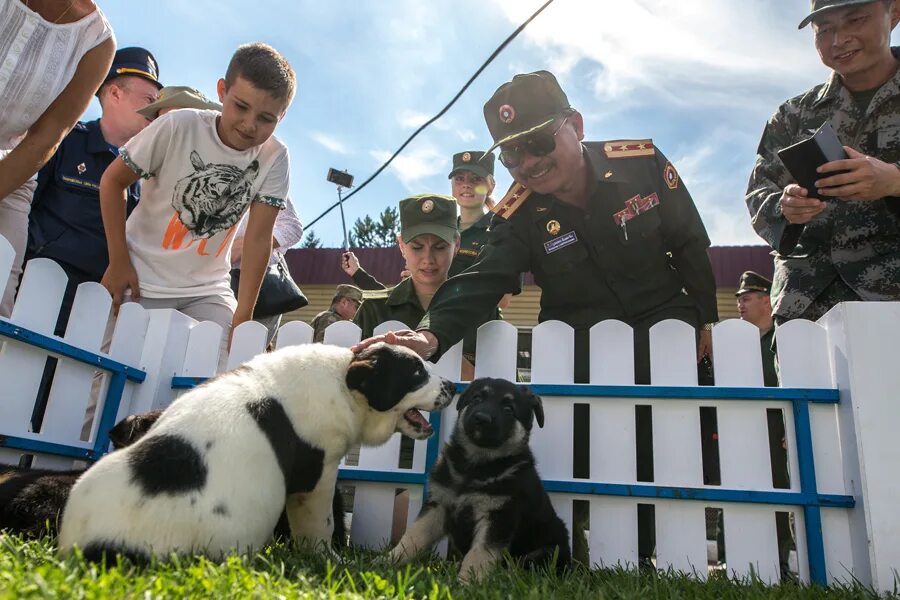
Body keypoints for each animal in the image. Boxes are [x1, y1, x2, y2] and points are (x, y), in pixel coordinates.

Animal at [57, 342, 454, 564]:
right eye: (416, 373)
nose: (451, 384)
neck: (345, 380)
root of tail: (100, 547)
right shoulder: (317, 478)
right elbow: (320, 525)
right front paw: (328, 559)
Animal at [386, 380, 568, 580]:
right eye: (477, 398)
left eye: (508, 408)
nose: (481, 418)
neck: (476, 466)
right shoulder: (438, 505)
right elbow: (414, 535)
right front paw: (388, 561)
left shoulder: (497, 517)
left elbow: (479, 553)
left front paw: (466, 581)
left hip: (548, 550)